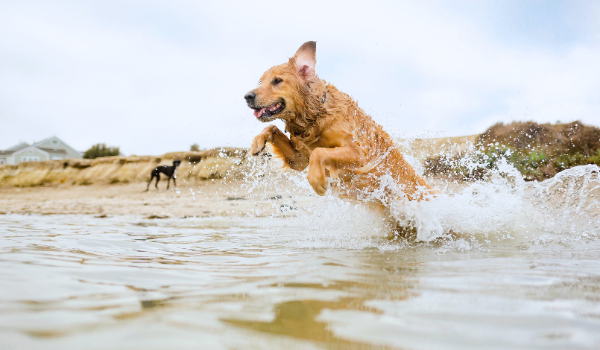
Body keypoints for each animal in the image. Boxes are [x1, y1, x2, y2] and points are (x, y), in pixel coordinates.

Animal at [244, 41, 436, 202]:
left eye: (277, 81)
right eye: (260, 81)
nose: (247, 96)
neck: (315, 117)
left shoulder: (359, 154)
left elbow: (319, 152)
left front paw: (317, 180)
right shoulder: (299, 159)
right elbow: (271, 127)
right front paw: (257, 143)